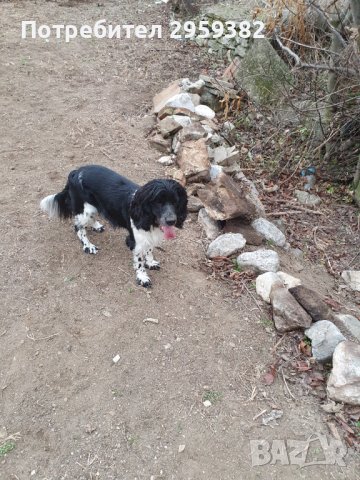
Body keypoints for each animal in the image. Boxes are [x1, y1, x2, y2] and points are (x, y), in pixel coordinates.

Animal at [40, 166, 187, 284]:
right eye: (158, 202)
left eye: (175, 202)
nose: (171, 221)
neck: (149, 219)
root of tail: (76, 172)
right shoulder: (136, 240)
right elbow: (139, 261)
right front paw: (142, 278)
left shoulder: (149, 236)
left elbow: (149, 250)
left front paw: (150, 262)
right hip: (85, 210)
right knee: (78, 227)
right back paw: (88, 246)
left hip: (93, 207)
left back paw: (97, 226)